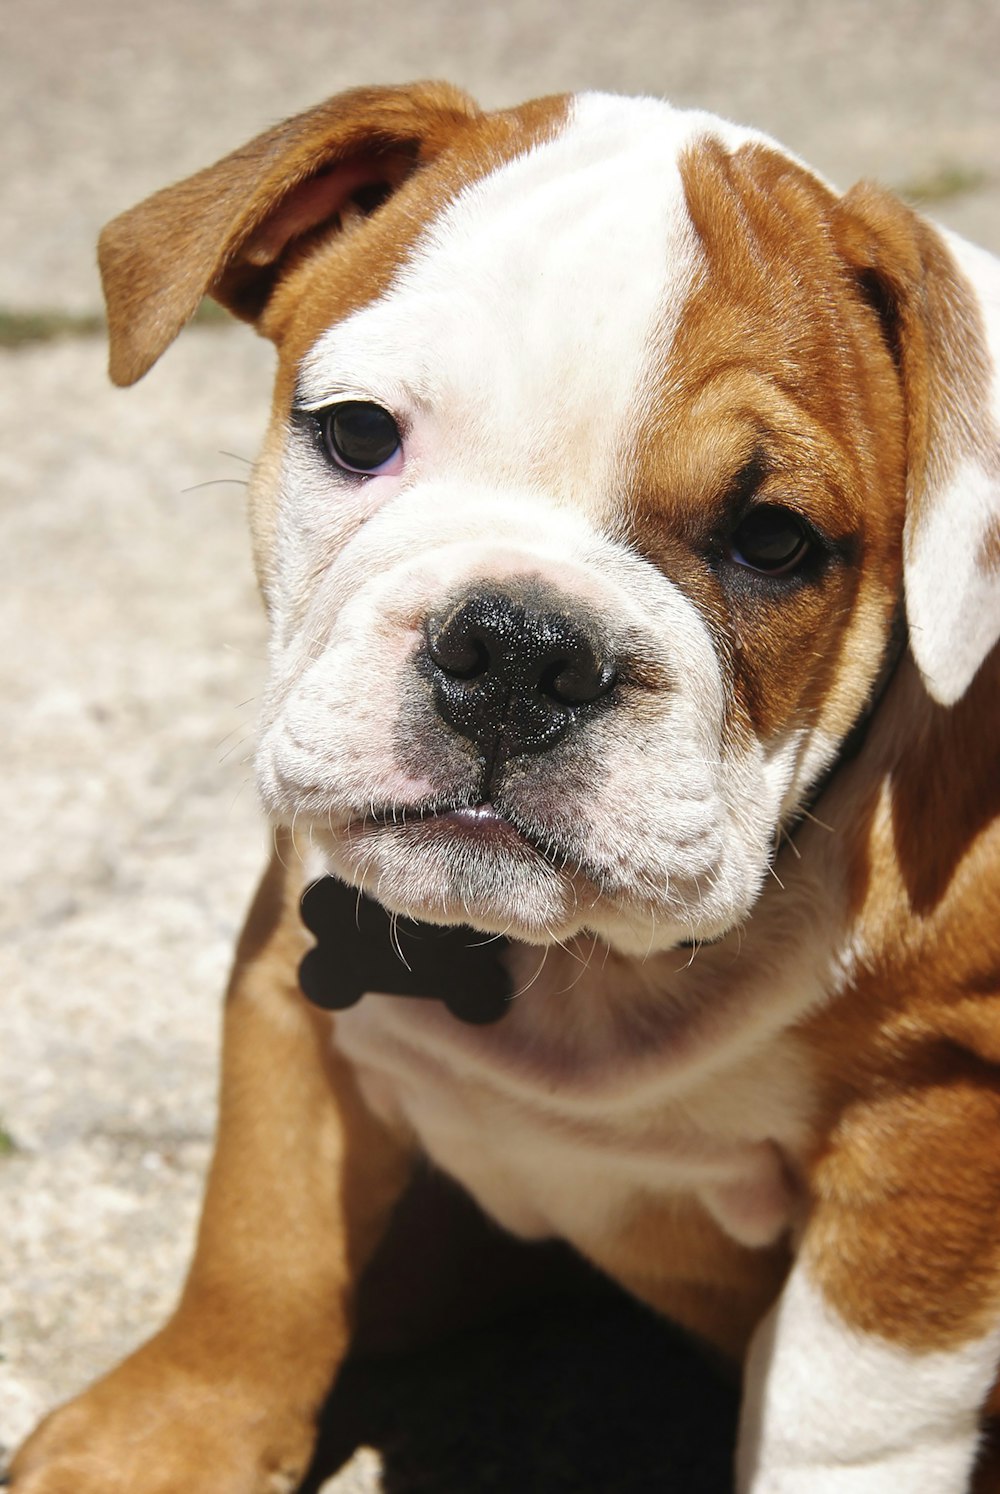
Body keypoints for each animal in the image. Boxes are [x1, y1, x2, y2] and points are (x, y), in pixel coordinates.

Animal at [9, 78, 998, 1494]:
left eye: (773, 540)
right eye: (357, 434)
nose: (522, 652)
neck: (586, 973)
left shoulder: (932, 1128)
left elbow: (842, 1420)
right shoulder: (294, 976)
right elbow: (261, 1230)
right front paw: (169, 1438)